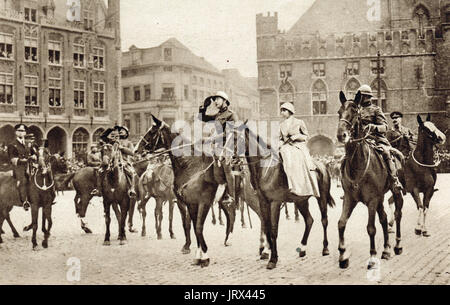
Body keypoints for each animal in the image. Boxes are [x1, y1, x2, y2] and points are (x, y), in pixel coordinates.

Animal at [135, 114, 237, 266]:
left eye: (152, 131)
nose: (136, 150)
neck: (188, 166)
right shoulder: (188, 202)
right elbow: (191, 225)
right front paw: (196, 253)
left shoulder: (204, 202)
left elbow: (198, 227)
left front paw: (204, 256)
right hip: (221, 200)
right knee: (229, 215)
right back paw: (227, 239)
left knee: (232, 214)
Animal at [234, 122, 336, 268]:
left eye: (236, 138)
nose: (231, 159)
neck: (265, 169)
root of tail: (321, 165)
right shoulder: (263, 202)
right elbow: (267, 227)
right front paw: (270, 254)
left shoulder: (275, 202)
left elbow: (273, 230)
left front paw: (272, 259)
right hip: (301, 200)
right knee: (309, 220)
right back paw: (302, 249)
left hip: (321, 197)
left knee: (324, 220)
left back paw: (325, 248)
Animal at [334, 91, 404, 268]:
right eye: (339, 112)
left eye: (354, 113)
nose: (341, 135)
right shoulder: (350, 198)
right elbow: (341, 223)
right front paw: (343, 256)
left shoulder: (372, 199)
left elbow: (371, 228)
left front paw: (372, 256)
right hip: (380, 198)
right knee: (384, 218)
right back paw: (386, 250)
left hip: (395, 192)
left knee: (398, 214)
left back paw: (397, 245)